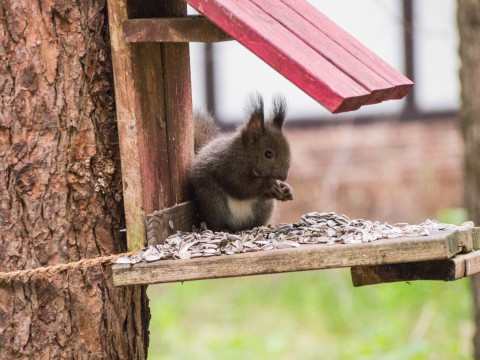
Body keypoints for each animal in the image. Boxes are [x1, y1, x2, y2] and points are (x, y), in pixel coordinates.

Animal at [188, 93, 292, 233]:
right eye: (268, 154)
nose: (284, 177)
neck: (245, 156)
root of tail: (238, 227)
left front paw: (286, 189)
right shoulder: (227, 165)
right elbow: (240, 186)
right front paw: (268, 185)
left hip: (262, 209)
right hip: (214, 202)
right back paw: (223, 228)